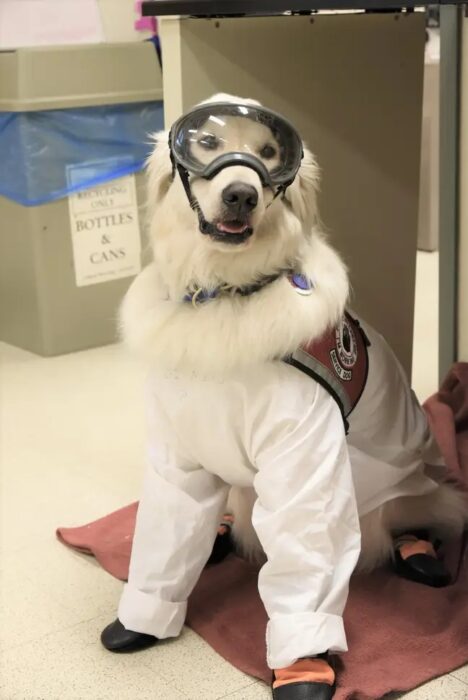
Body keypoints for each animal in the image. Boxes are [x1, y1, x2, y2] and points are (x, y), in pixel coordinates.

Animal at [101, 94, 464, 700]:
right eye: (207, 142)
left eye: (270, 153)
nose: (241, 194)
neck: (225, 295)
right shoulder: (180, 457)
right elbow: (166, 536)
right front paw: (142, 619)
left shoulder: (305, 462)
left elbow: (307, 561)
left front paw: (305, 667)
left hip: (404, 488)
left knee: (420, 518)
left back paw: (418, 552)